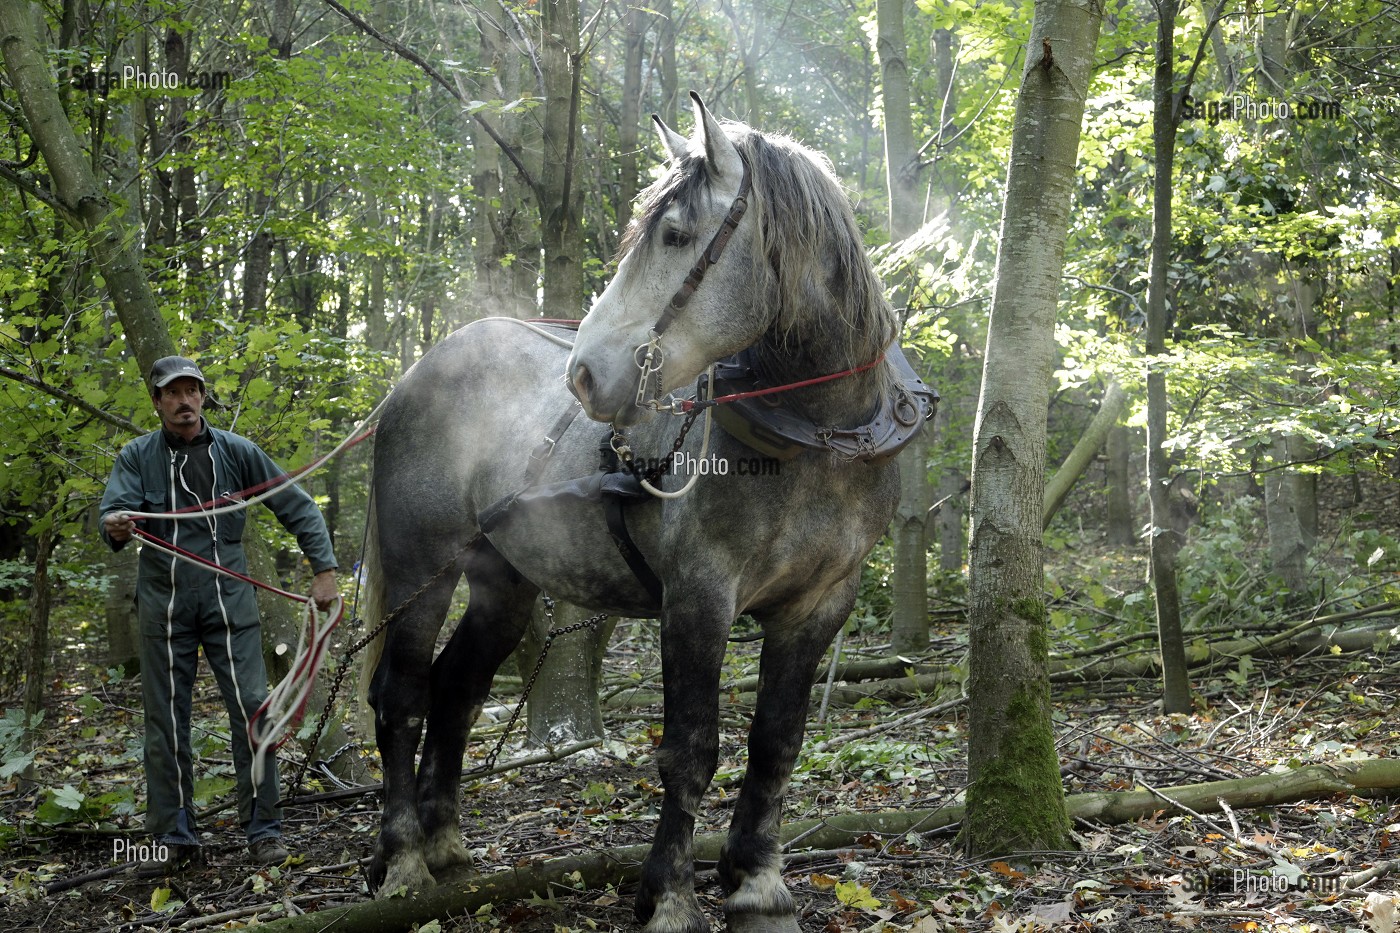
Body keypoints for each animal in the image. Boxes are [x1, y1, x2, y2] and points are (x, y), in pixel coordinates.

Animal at [358, 92, 934, 933]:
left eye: (676, 234)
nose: (584, 374)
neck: (819, 433)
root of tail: (419, 372)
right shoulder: (698, 595)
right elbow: (690, 749)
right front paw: (669, 895)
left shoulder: (820, 603)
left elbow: (776, 740)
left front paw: (758, 882)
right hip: (418, 567)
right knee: (400, 693)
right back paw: (402, 858)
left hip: (503, 580)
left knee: (455, 688)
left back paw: (447, 844)